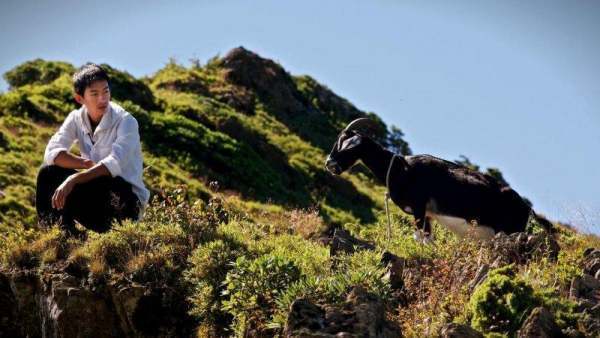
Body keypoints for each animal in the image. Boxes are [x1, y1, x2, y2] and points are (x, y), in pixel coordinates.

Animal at [326, 119, 548, 240]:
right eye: (338, 140)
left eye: (350, 145)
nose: (329, 163)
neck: (400, 167)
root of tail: (528, 210)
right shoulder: (428, 215)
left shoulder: (419, 208)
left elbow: (421, 239)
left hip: (510, 230)